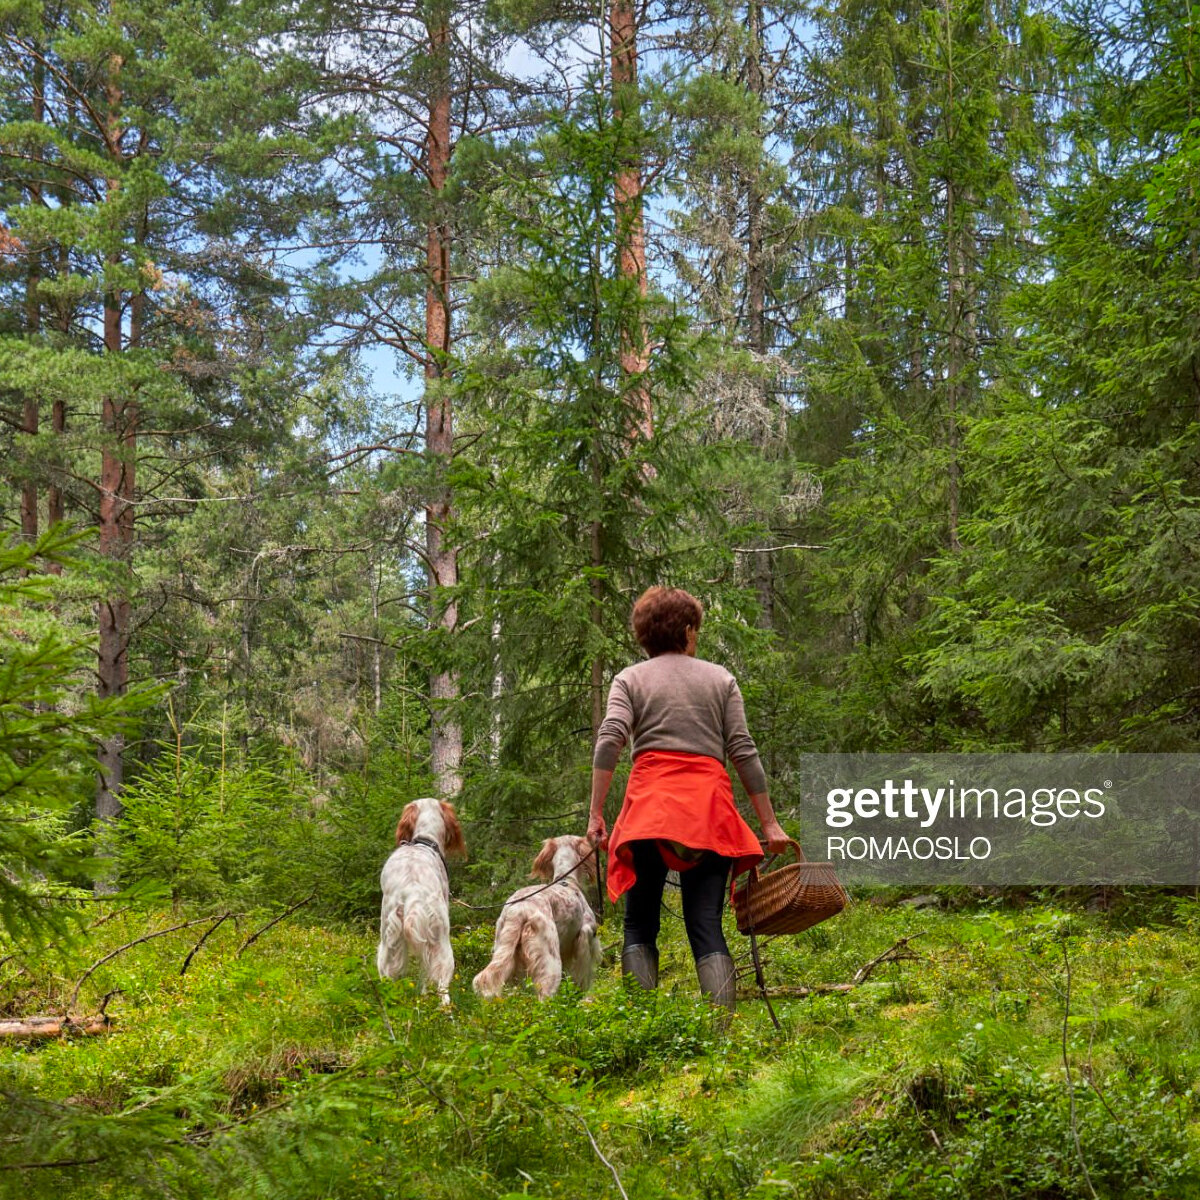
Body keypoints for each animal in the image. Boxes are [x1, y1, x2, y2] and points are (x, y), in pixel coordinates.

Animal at [468, 835, 600, 1003]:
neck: (566, 881)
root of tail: (518, 909)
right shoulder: (586, 938)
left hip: (506, 954)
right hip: (550, 964)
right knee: (544, 998)